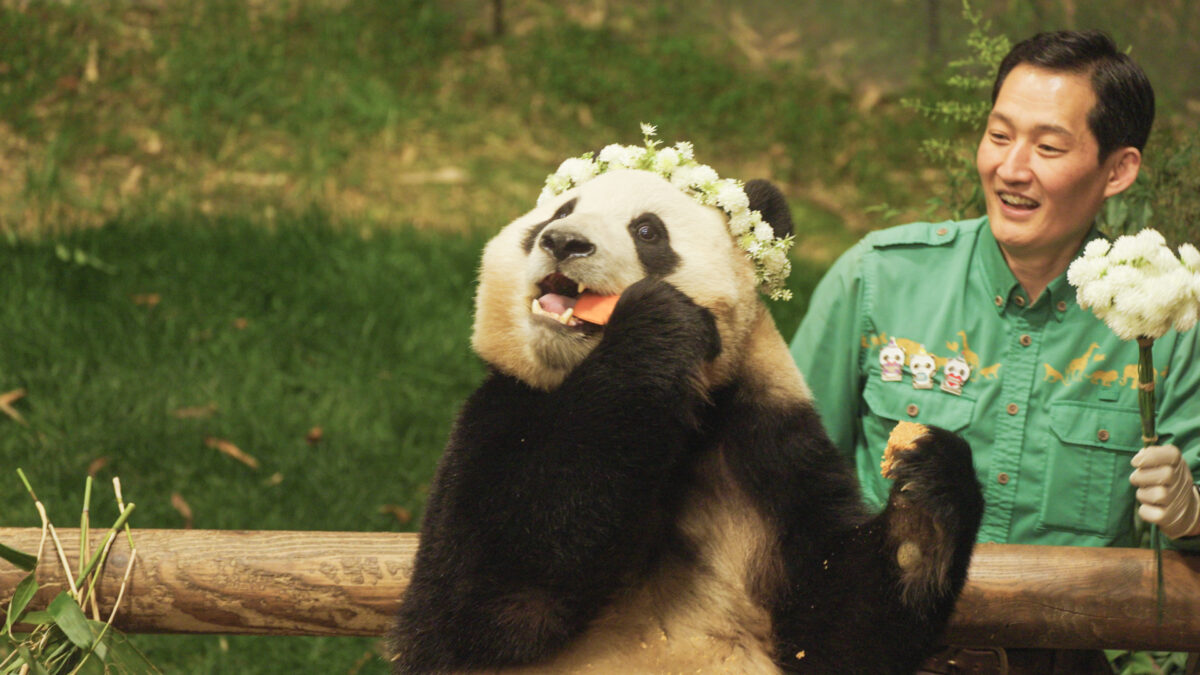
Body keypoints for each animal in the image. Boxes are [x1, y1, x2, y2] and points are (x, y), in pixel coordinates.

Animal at [389, 153, 984, 673]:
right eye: (558, 214)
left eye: (648, 231)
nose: (563, 241)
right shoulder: (500, 410)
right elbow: (482, 600)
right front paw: (657, 324)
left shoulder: (767, 444)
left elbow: (837, 629)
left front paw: (927, 491)